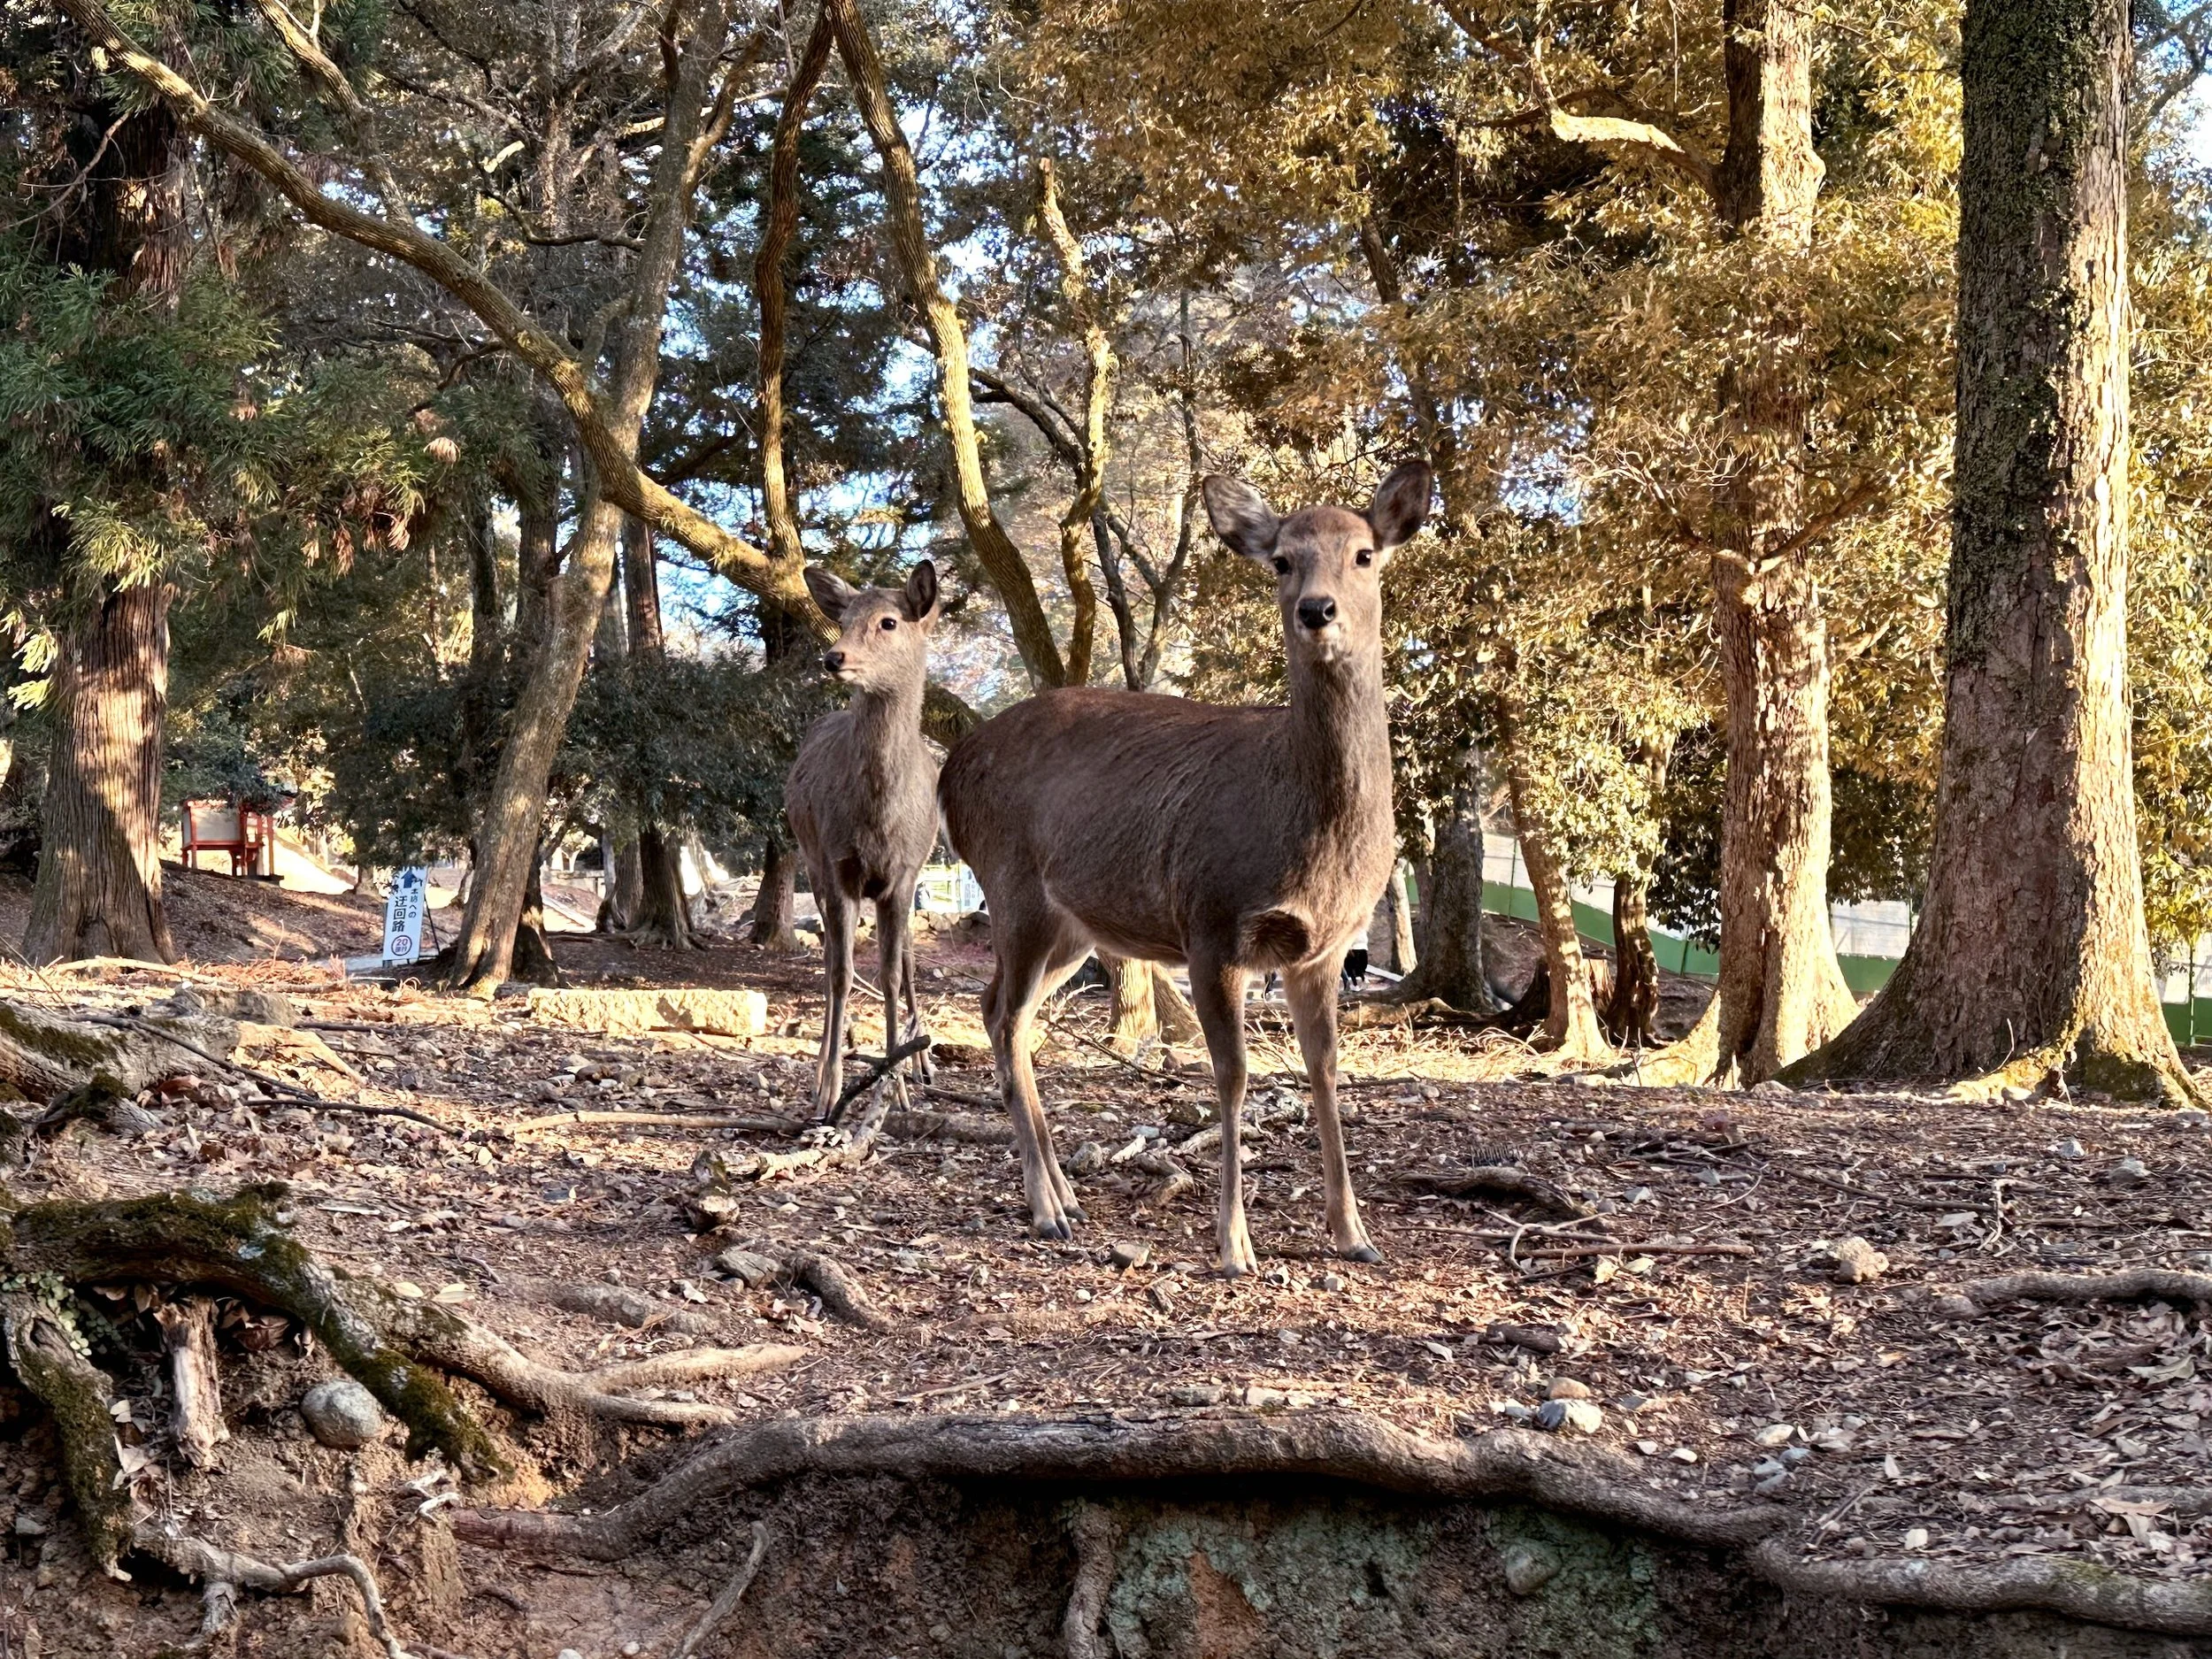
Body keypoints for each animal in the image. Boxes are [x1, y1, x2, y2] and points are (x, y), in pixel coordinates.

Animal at [786, 560, 941, 1120]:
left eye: (889, 622)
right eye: (844, 618)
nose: (834, 657)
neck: (879, 819)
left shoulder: (904, 875)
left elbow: (892, 973)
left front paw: (894, 1085)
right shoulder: (840, 866)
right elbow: (842, 972)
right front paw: (830, 1089)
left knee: (910, 959)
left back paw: (922, 1063)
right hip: (811, 864)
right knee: (831, 958)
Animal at [938, 463, 1432, 1276]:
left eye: (1364, 554)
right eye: (1282, 559)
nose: (1317, 610)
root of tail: (949, 769)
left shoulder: (1326, 947)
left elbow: (1326, 1069)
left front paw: (1355, 1233)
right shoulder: (1212, 921)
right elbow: (1231, 1075)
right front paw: (1234, 1244)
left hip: (1071, 926)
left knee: (998, 1009)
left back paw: (1067, 1193)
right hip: (1013, 885)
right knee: (1006, 1018)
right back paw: (1046, 1208)